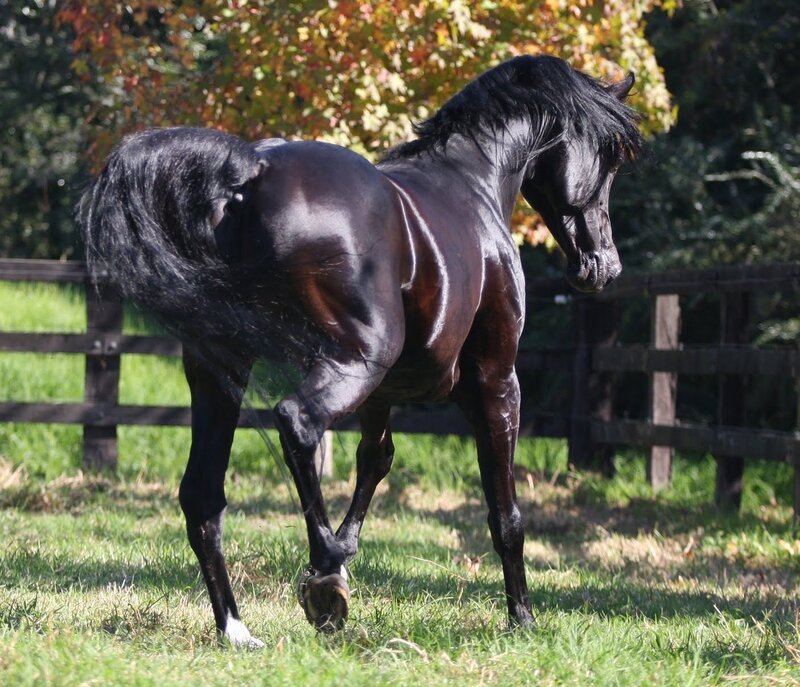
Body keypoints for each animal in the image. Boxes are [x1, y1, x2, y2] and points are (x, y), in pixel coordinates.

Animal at [79, 55, 641, 647]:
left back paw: (239, 627)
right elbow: (504, 512)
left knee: (203, 493)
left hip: (224, 372)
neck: (472, 182)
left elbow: (376, 459)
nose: (603, 265)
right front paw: (523, 619)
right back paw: (324, 579)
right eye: (608, 159)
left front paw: (348, 550)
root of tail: (251, 172)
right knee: (297, 422)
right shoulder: (495, 380)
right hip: (354, 360)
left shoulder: (383, 394)